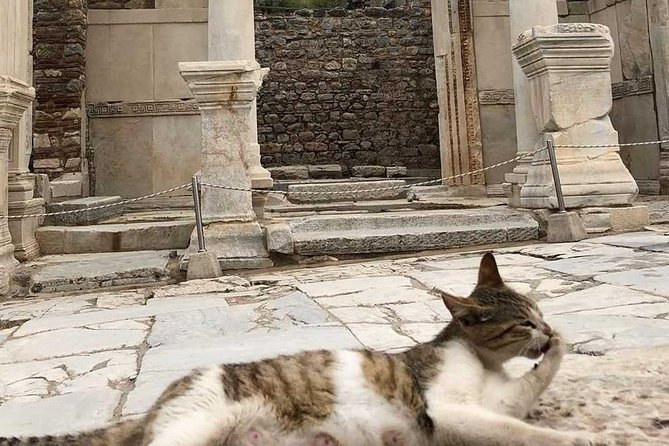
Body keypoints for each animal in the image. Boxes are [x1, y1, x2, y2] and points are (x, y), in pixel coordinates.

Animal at [0, 253, 600, 444]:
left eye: (539, 311)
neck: (482, 361)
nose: (546, 329)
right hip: (193, 423)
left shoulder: (497, 402)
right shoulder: (445, 410)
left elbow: (524, 397)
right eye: (522, 323)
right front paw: (578, 439)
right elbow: (522, 431)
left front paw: (563, 347)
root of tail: (153, 405)